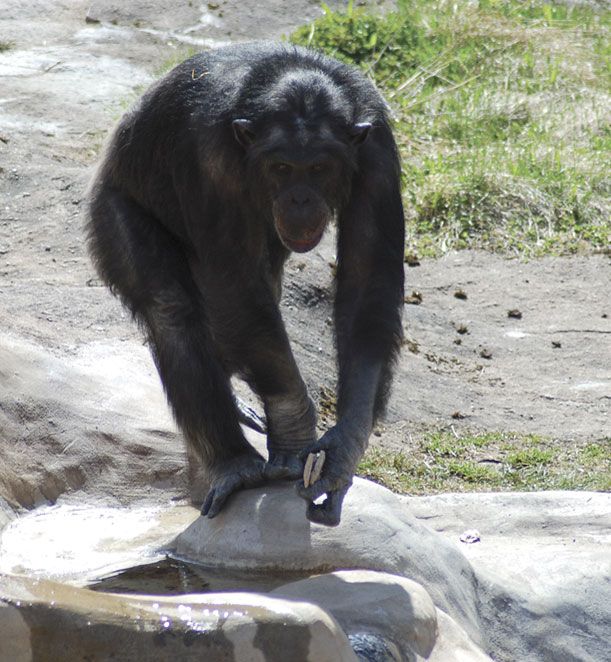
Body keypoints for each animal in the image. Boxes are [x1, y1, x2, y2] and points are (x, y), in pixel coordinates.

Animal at [85, 41, 402, 528]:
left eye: (319, 167)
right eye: (283, 166)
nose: (300, 198)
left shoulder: (378, 152)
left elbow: (368, 279)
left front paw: (342, 450)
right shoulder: (208, 158)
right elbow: (231, 280)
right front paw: (293, 427)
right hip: (111, 204)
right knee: (173, 309)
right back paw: (233, 464)